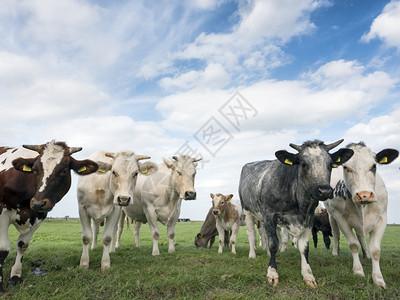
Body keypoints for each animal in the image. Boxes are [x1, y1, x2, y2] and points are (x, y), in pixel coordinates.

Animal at [0, 141, 99, 292]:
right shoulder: (2, 212)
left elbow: (22, 245)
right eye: (35, 170)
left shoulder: (39, 216)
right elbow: (3, 248)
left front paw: (15, 276)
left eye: (63, 171)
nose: (38, 203)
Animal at [238, 139, 354, 288]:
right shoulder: (269, 215)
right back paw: (252, 254)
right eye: (304, 164)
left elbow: (304, 248)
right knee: (252, 234)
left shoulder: (309, 219)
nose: (324, 191)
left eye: (330, 165)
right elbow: (273, 243)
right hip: (248, 211)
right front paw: (272, 272)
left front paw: (308, 275)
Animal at [326, 143, 398, 288]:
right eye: (346, 167)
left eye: (373, 166)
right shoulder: (341, 218)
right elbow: (353, 244)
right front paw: (358, 270)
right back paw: (335, 252)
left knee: (361, 236)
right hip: (332, 217)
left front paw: (378, 278)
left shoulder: (382, 218)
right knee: (336, 234)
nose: (364, 195)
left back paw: (366, 254)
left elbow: (375, 250)